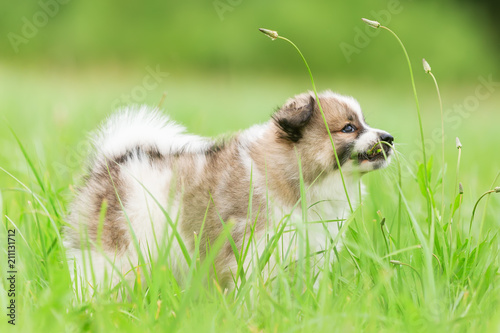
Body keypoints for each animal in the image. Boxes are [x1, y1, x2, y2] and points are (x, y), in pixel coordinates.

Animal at [64, 89, 394, 290]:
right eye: (349, 128)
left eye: (364, 123)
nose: (389, 138)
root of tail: (112, 162)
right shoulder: (256, 251)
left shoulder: (312, 253)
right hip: (113, 255)